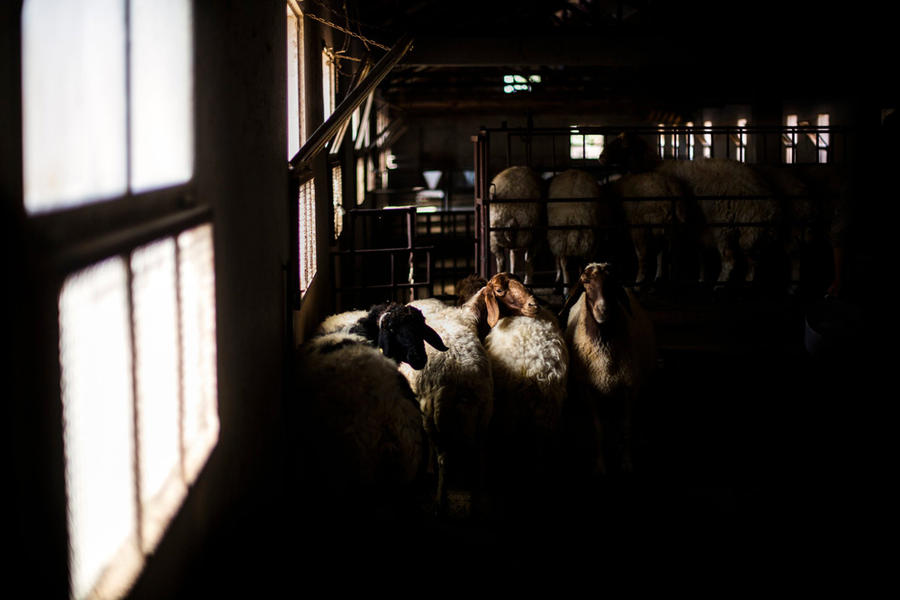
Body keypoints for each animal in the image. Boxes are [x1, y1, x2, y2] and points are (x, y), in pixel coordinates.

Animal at [564, 262, 652, 478]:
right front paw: (600, 465)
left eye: (612, 283)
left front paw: (627, 463)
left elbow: (626, 427)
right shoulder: (589, 390)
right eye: (586, 283)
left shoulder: (629, 387)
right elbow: (598, 430)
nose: (603, 310)